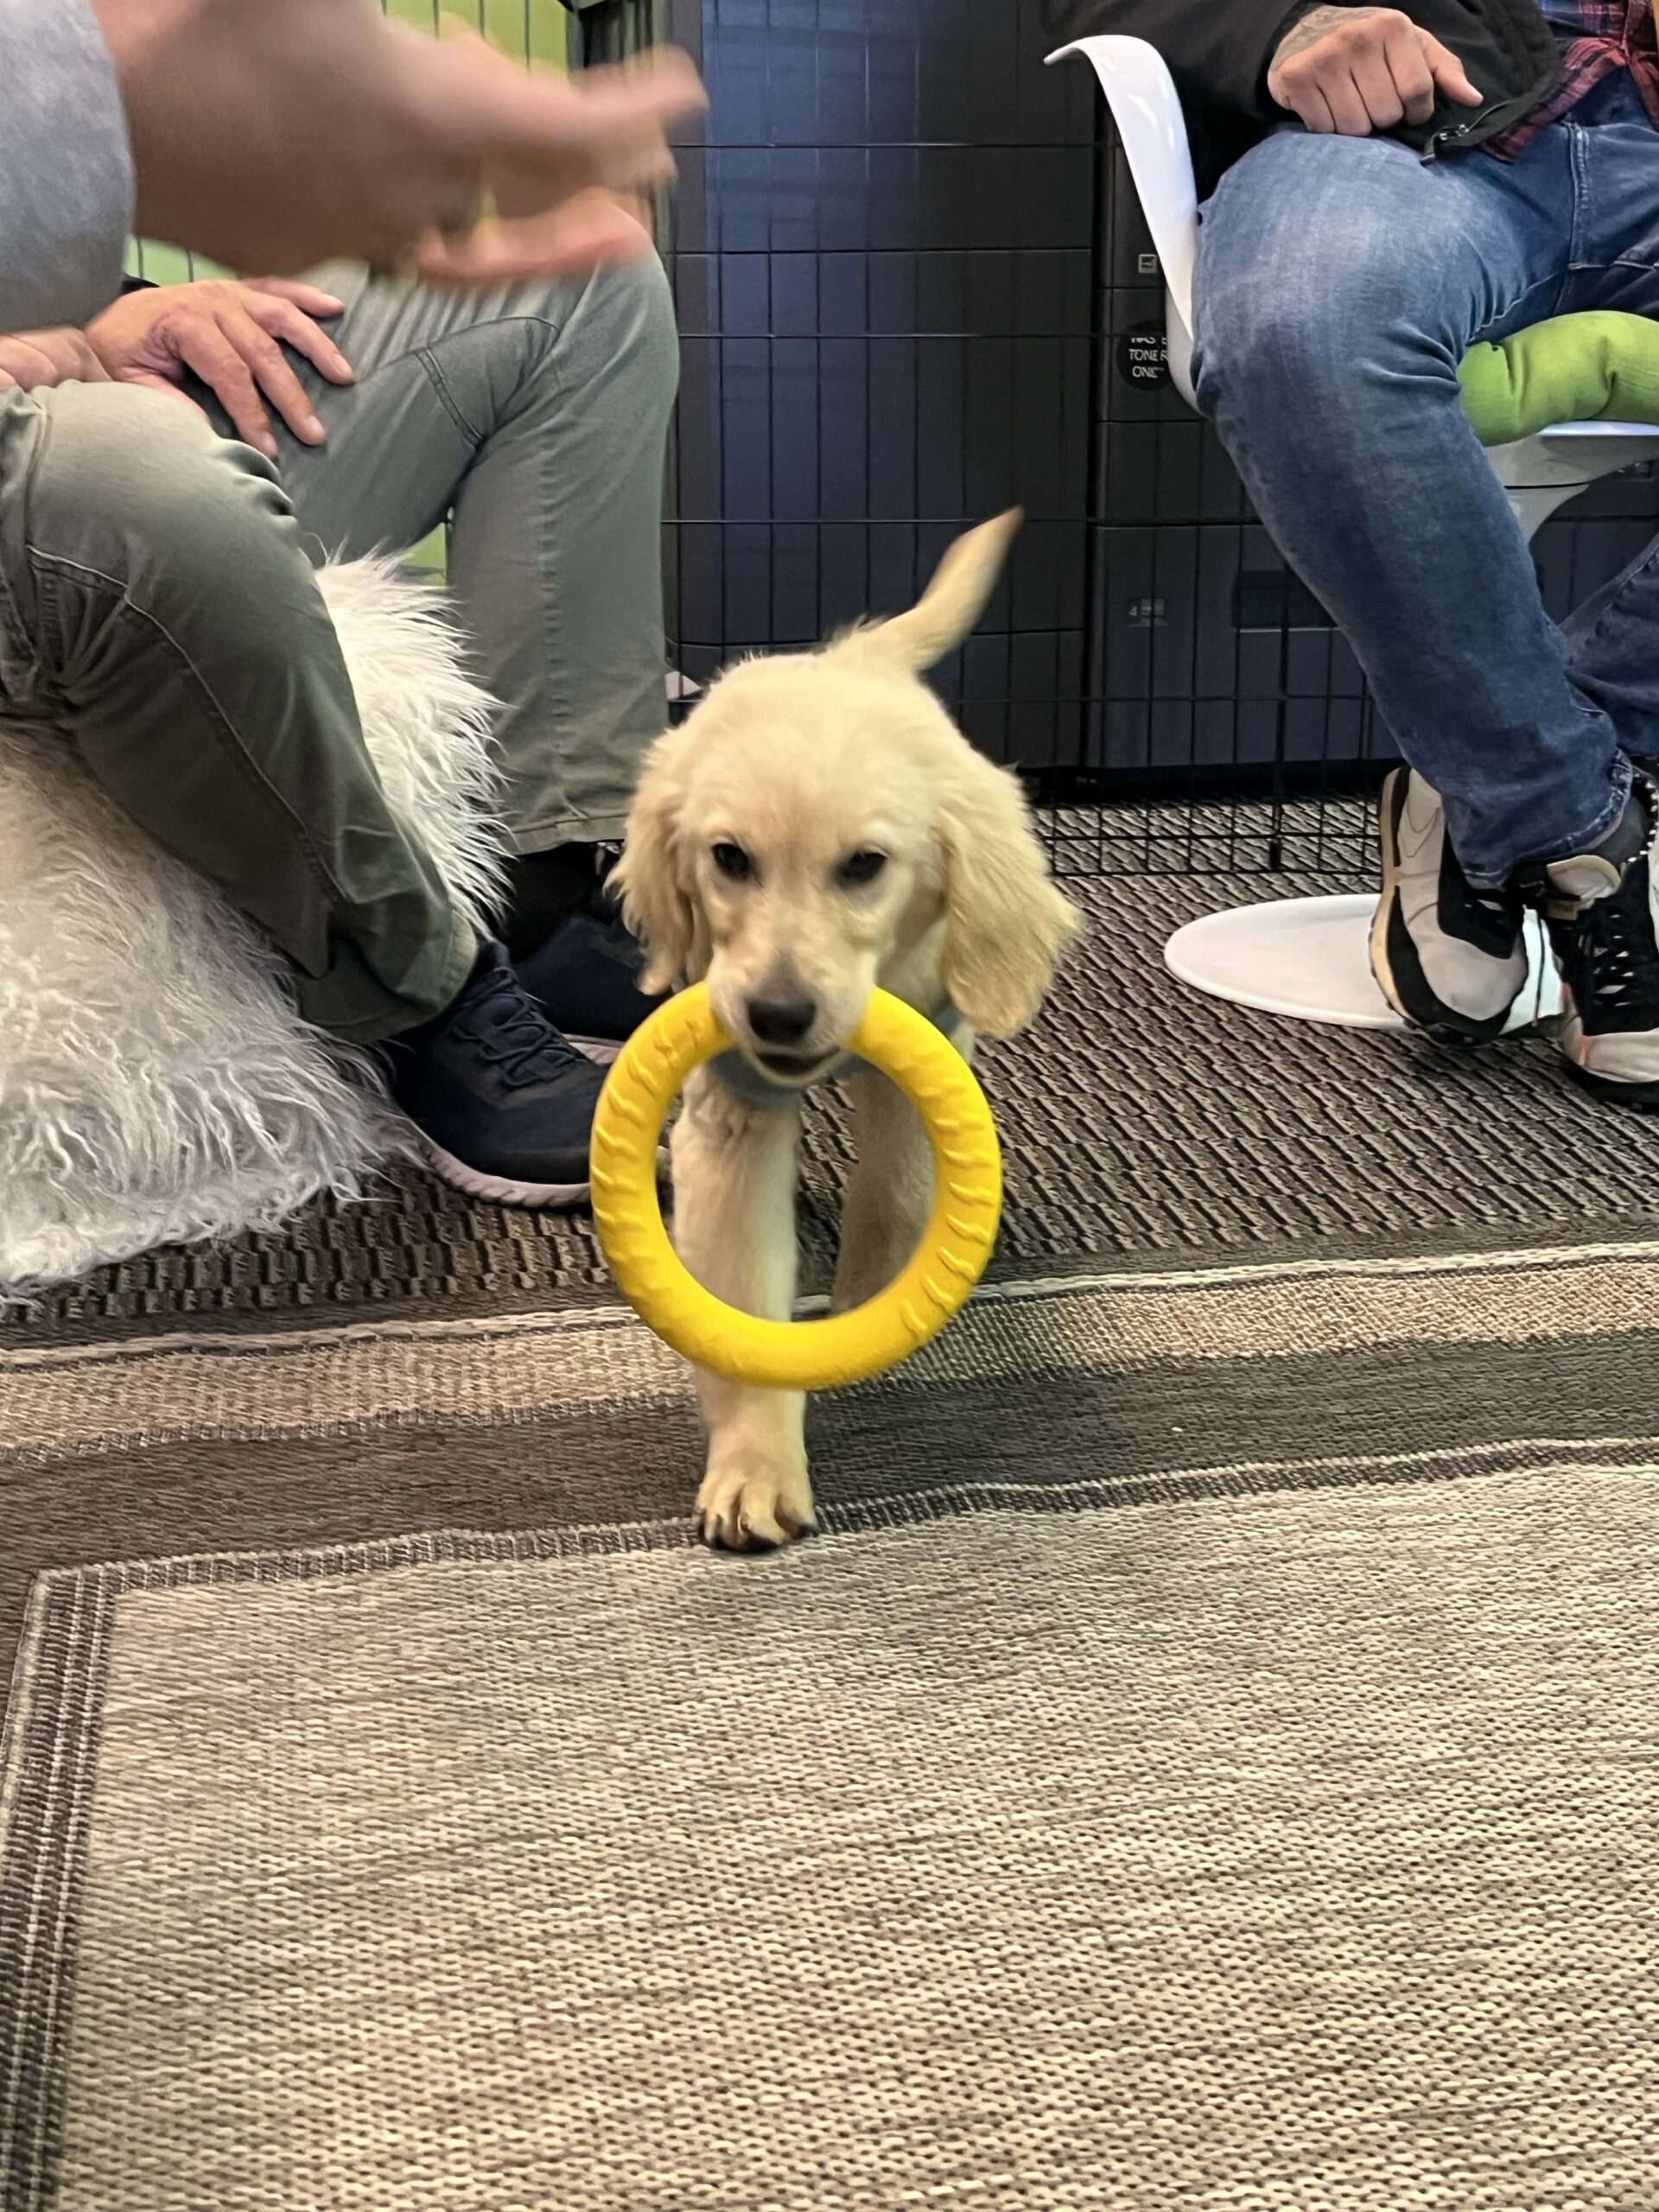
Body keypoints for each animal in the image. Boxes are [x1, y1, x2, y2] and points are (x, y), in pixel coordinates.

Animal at [612, 511, 1080, 1549]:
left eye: (864, 865)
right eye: (729, 858)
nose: (778, 1012)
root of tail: (849, 658)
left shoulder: (931, 1059)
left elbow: (897, 1196)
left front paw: (870, 1299)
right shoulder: (733, 1110)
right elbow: (742, 1304)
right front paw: (753, 1467)